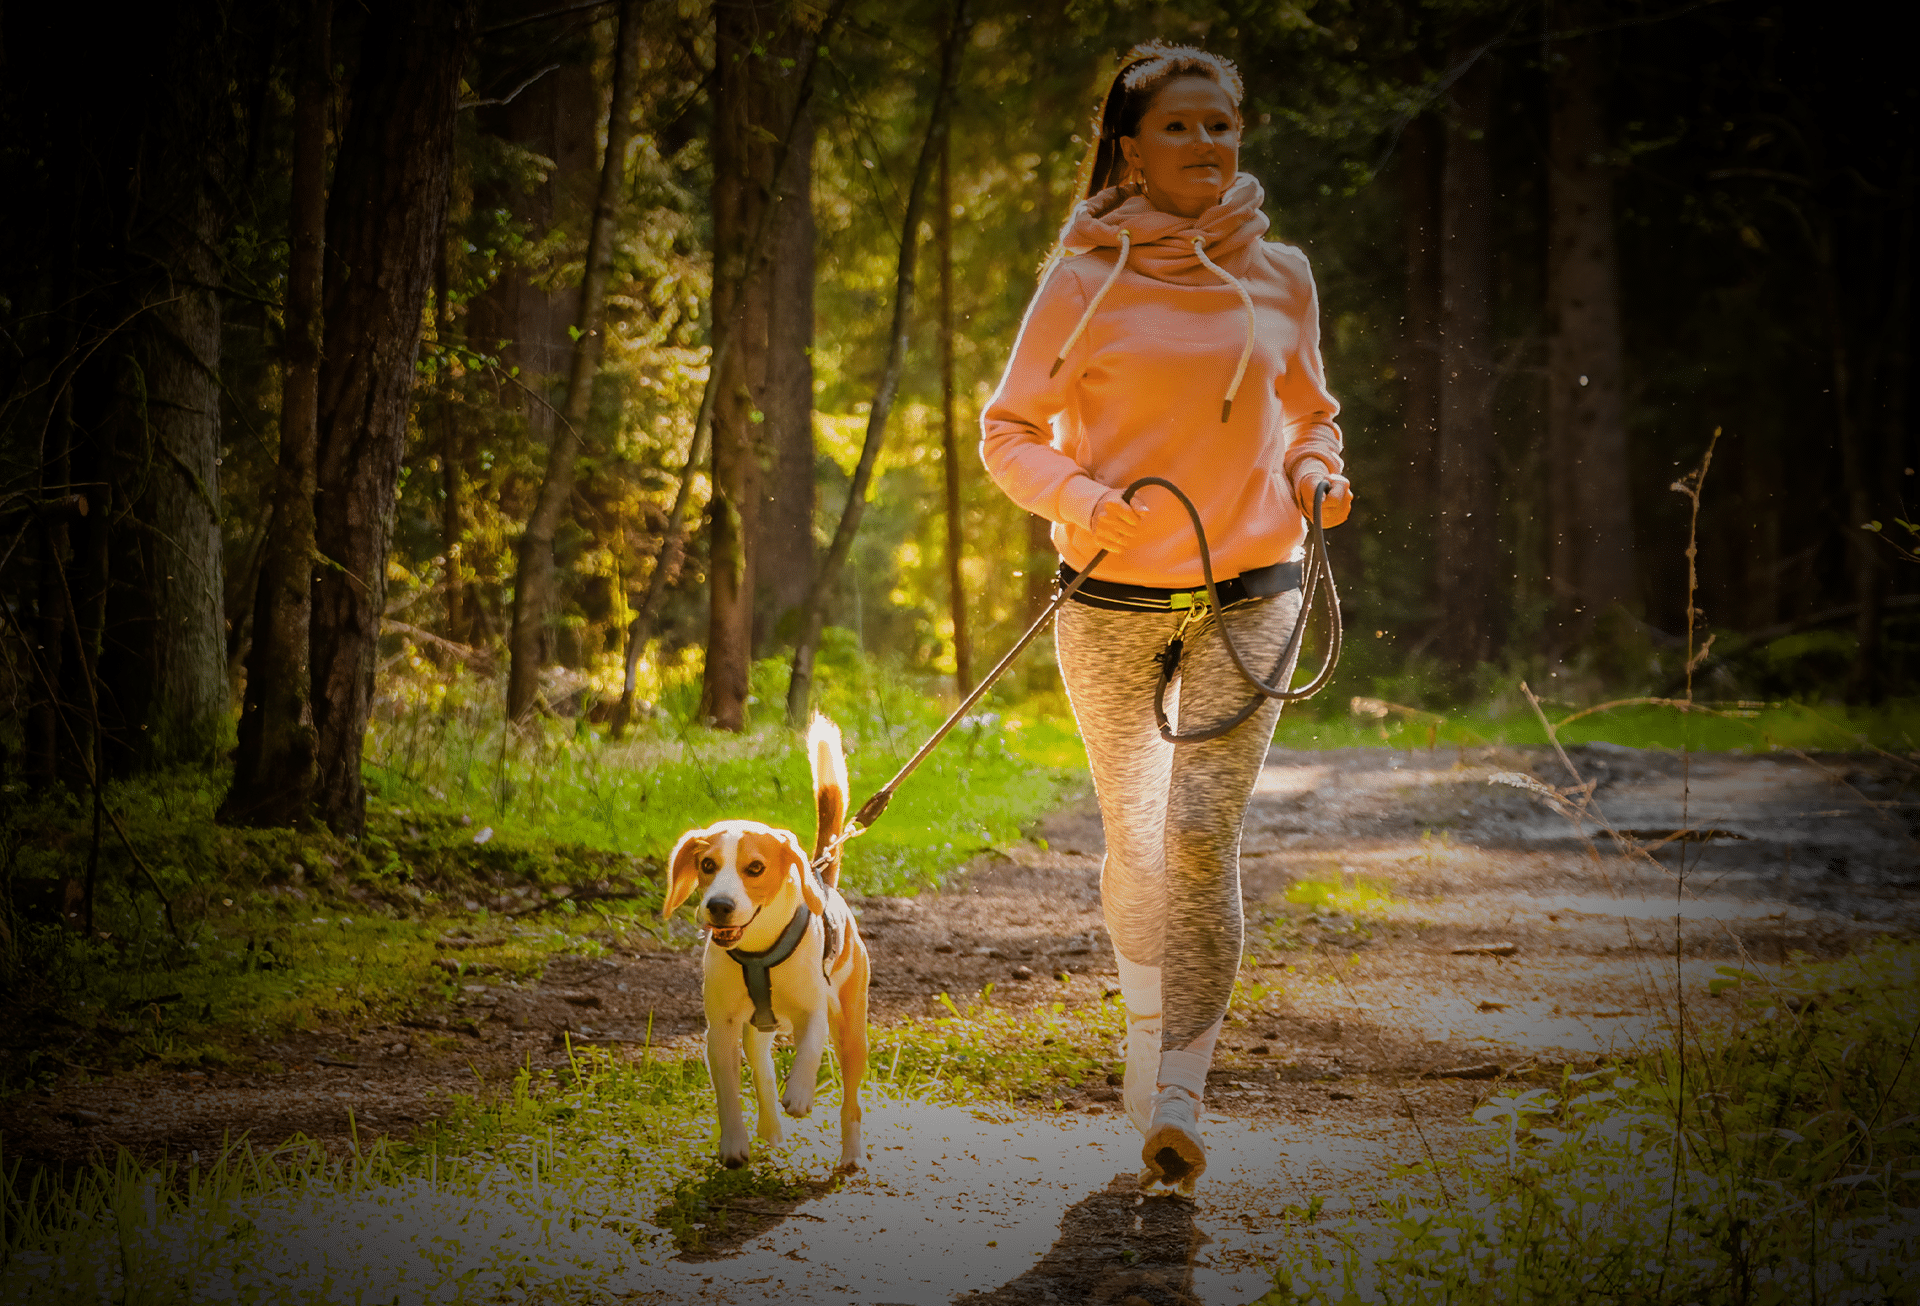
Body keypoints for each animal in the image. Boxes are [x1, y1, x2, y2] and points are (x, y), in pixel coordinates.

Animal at [660, 714, 871, 1175]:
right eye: (707, 865)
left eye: (754, 868)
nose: (719, 906)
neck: (758, 951)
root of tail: (823, 876)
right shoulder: (720, 1030)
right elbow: (728, 1091)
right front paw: (734, 1144)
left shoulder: (815, 1009)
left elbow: (809, 1049)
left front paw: (801, 1094)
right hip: (756, 1030)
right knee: (762, 1072)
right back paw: (770, 1129)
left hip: (851, 1030)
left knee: (851, 1103)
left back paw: (849, 1154)